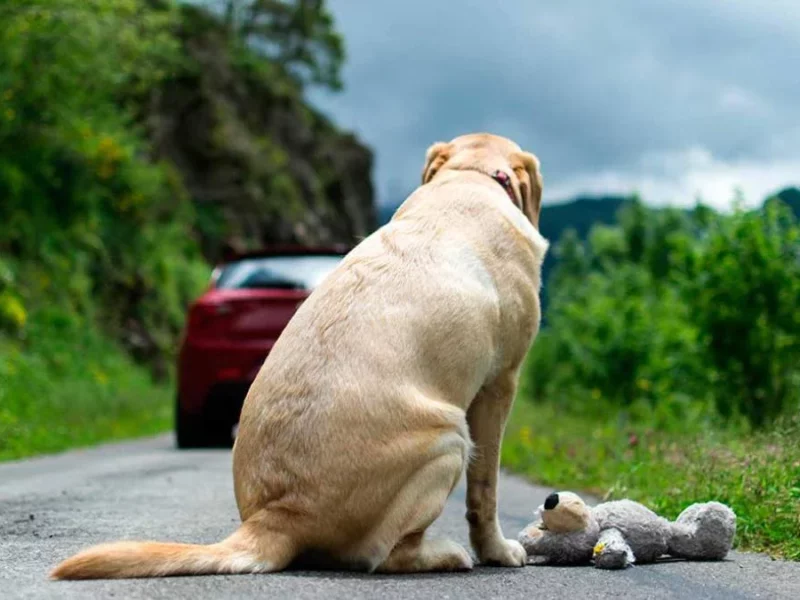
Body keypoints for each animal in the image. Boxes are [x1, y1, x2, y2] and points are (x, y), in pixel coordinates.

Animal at [51, 134, 552, 580]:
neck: (469, 176)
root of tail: (278, 515)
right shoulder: (500, 383)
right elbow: (484, 491)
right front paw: (498, 551)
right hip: (449, 437)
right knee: (384, 553)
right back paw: (445, 554)